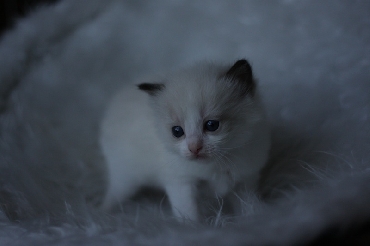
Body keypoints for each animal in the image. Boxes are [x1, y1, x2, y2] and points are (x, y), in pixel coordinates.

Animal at [99, 59, 270, 221]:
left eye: (212, 125)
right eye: (177, 131)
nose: (194, 148)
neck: (217, 164)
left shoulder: (246, 180)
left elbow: (248, 205)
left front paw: (253, 217)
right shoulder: (181, 182)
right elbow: (188, 213)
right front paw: (194, 227)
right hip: (125, 176)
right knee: (114, 194)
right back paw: (104, 213)